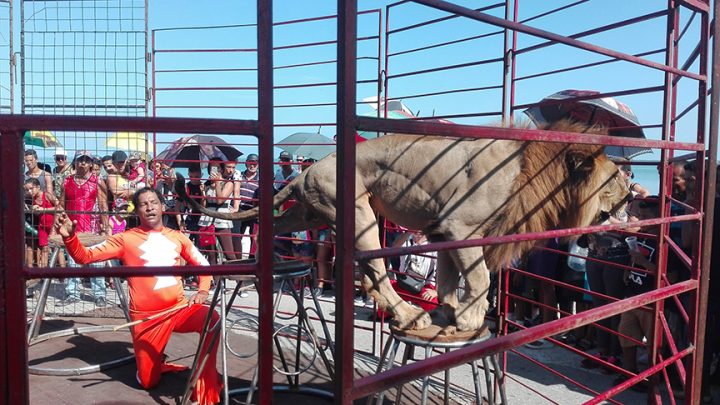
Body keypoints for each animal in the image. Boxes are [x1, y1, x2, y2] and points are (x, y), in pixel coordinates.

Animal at [176, 120, 632, 332]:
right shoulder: (461, 227)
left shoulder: (443, 231)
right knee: (376, 273)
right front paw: (469, 318)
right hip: (356, 211)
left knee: (275, 225)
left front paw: (449, 309)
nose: (632, 193)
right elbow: (480, 278)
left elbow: (448, 276)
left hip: (309, 211)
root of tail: (308, 171)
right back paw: (410, 315)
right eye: (614, 179)